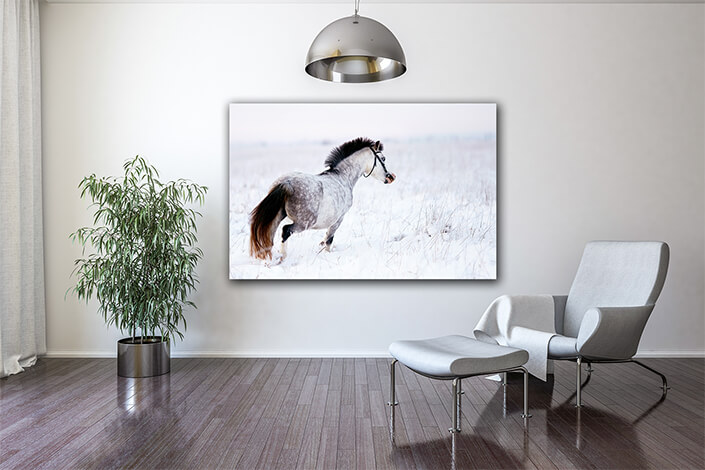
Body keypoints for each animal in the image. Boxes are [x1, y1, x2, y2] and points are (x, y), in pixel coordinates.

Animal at [249, 137, 396, 260]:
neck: (342, 177)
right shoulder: (338, 219)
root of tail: (287, 183)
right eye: (383, 158)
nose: (391, 177)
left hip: (277, 217)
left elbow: (326, 239)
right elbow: (329, 239)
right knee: (285, 231)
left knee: (270, 236)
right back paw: (283, 257)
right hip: (304, 223)